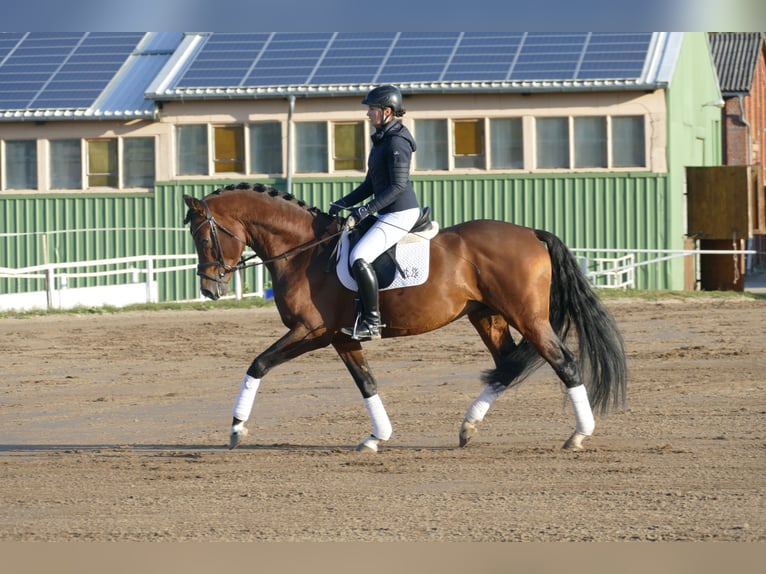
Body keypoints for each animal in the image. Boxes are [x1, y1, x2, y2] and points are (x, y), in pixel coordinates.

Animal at [186, 182, 632, 452]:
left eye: (204, 235)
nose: (210, 288)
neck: (304, 252)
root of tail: (531, 232)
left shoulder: (311, 331)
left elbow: (258, 364)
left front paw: (236, 429)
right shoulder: (342, 336)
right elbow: (366, 383)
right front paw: (376, 437)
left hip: (528, 317)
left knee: (564, 362)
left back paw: (578, 435)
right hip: (488, 316)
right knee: (508, 366)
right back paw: (468, 426)